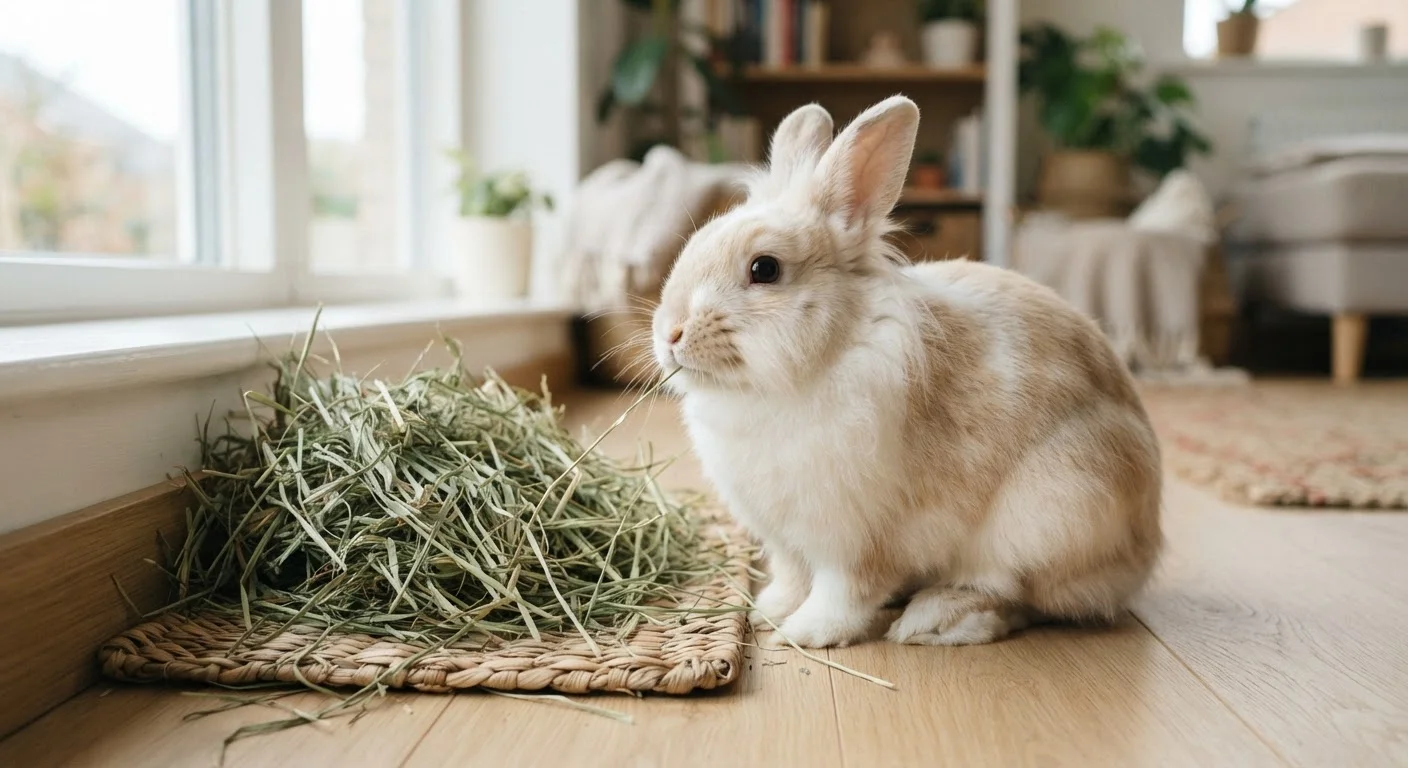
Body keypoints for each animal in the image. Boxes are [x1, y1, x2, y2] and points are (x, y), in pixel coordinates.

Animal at [650, 96, 1163, 648]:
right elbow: (792, 576)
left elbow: (844, 590)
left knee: (1022, 598)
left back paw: (938, 619)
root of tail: (1144, 549)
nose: (670, 333)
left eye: (764, 269)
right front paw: (770, 611)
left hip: (1050, 519)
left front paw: (807, 632)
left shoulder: (856, 536)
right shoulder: (784, 538)